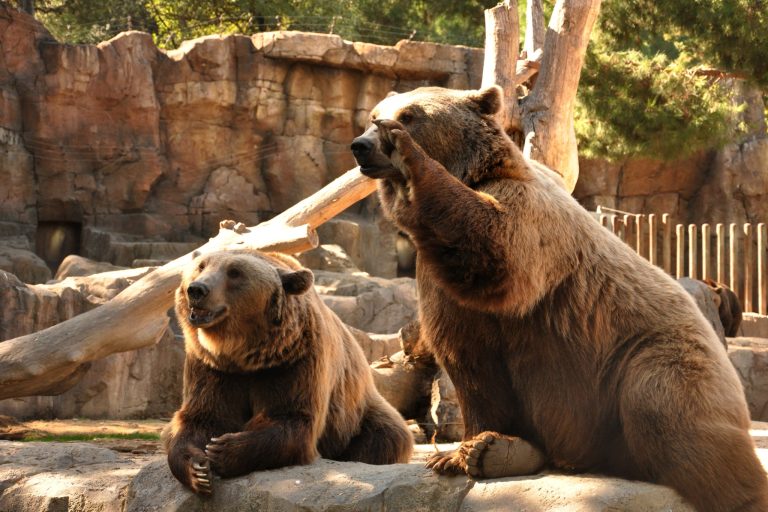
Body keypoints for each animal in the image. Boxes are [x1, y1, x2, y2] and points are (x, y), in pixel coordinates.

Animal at [163, 248, 412, 495]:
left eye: (235, 272)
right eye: (201, 266)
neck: (243, 354)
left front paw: (223, 450)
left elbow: (290, 418)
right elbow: (202, 417)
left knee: (386, 436)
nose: (196, 289)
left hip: (357, 414)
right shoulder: (212, 367)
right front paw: (198, 470)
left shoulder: (294, 360)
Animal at [350, 85, 768, 511]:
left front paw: (407, 155)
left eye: (409, 115)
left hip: (647, 357)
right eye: (374, 115)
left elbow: (497, 245)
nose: (361, 146)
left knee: (670, 416)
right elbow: (472, 365)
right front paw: (464, 451)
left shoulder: (526, 220)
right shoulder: (443, 287)